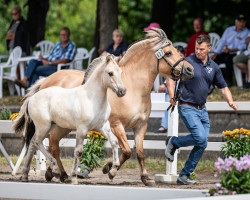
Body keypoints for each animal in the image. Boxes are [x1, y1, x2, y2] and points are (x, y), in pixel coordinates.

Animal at [13, 54, 125, 184]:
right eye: (110, 73)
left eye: (120, 72)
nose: (122, 91)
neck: (91, 98)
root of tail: (31, 98)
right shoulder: (82, 129)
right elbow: (78, 151)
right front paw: (74, 177)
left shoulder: (103, 126)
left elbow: (114, 142)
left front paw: (112, 172)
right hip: (43, 126)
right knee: (37, 142)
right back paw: (56, 171)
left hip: (48, 126)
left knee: (32, 143)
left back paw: (25, 175)